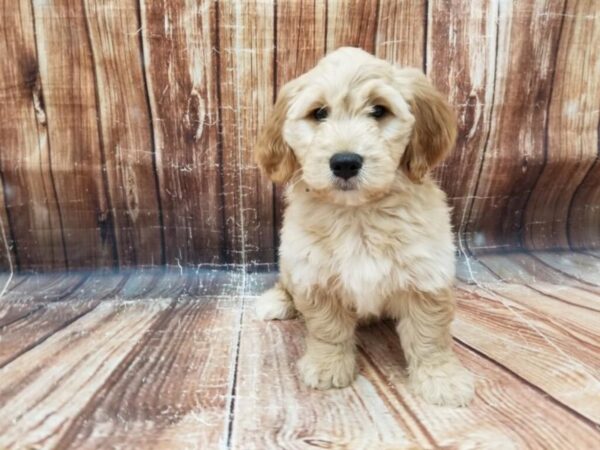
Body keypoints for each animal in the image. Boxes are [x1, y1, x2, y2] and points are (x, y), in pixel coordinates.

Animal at [253, 47, 474, 406]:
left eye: (379, 110)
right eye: (319, 113)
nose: (345, 162)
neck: (358, 214)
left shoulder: (426, 278)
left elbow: (429, 336)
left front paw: (443, 379)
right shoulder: (314, 275)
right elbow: (327, 330)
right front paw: (327, 366)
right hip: (290, 260)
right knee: (286, 283)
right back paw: (278, 301)